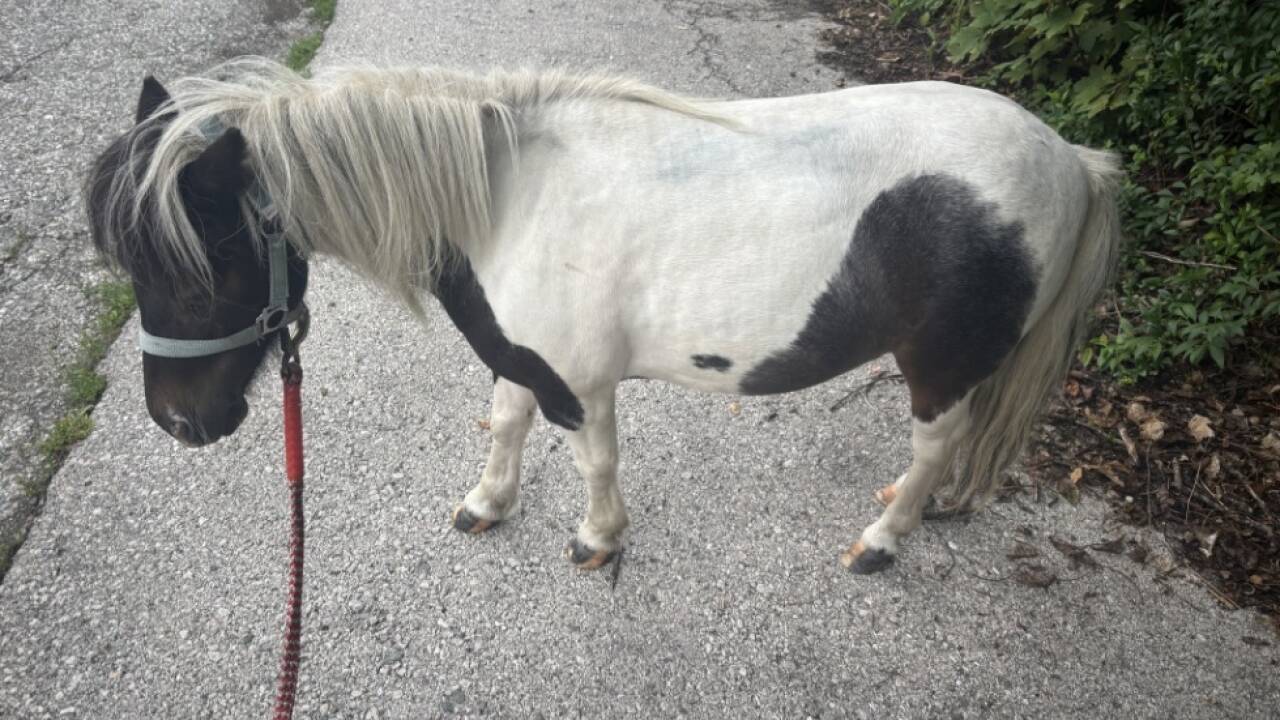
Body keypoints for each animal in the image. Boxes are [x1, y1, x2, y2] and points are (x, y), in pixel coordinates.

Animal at [86, 58, 1120, 574]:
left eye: (204, 264)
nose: (178, 422)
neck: (503, 199)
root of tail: (1069, 159)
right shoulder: (521, 356)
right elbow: (504, 421)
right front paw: (488, 504)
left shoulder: (579, 383)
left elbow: (592, 461)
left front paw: (597, 540)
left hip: (937, 364)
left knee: (939, 442)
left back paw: (884, 540)